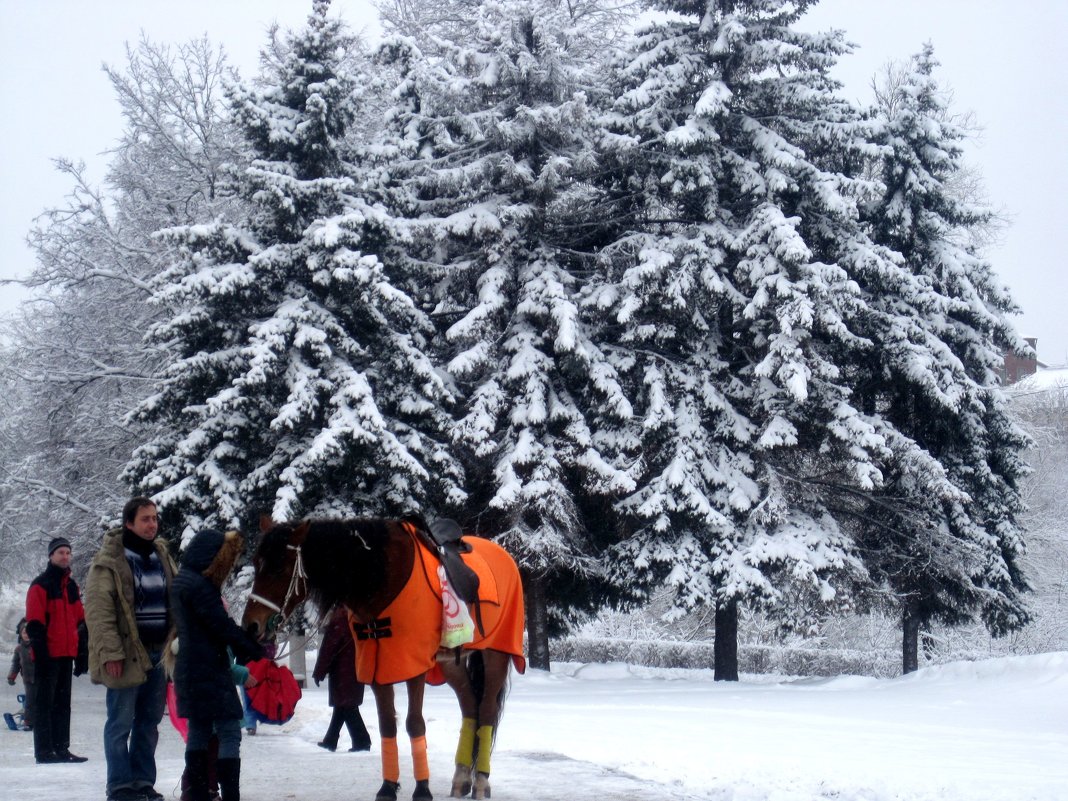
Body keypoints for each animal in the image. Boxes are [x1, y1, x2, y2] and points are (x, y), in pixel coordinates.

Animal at [241, 521, 525, 801]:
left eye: (279, 568)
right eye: (256, 563)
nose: (251, 626)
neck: (382, 577)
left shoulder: (414, 666)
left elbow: (414, 724)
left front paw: (422, 789)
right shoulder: (377, 666)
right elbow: (387, 724)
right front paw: (388, 786)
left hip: (495, 655)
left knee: (486, 711)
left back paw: (481, 782)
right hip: (451, 663)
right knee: (469, 708)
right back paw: (461, 778)